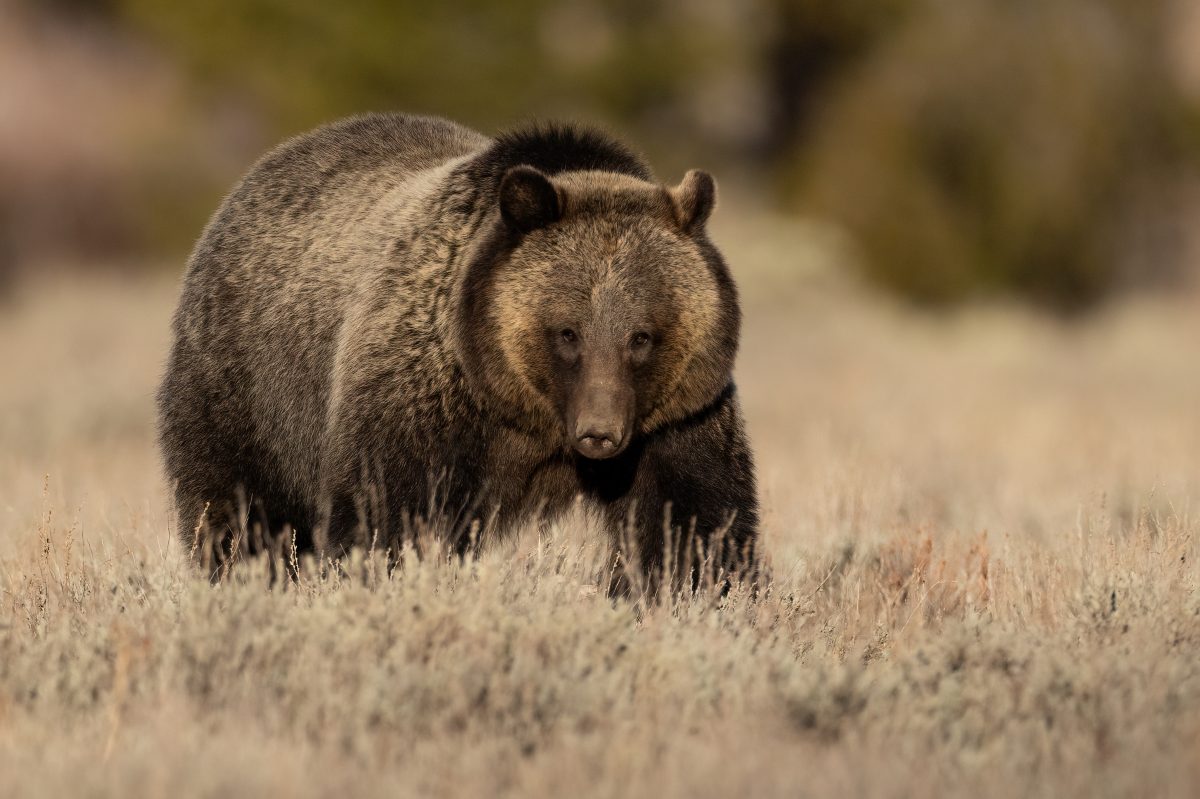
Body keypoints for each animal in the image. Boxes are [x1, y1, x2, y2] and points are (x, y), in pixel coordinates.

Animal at [157, 112, 758, 583]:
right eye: (568, 332)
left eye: (641, 336)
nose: (600, 433)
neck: (528, 412)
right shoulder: (427, 396)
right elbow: (390, 515)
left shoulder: (676, 419)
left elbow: (695, 522)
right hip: (249, 387)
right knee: (242, 508)